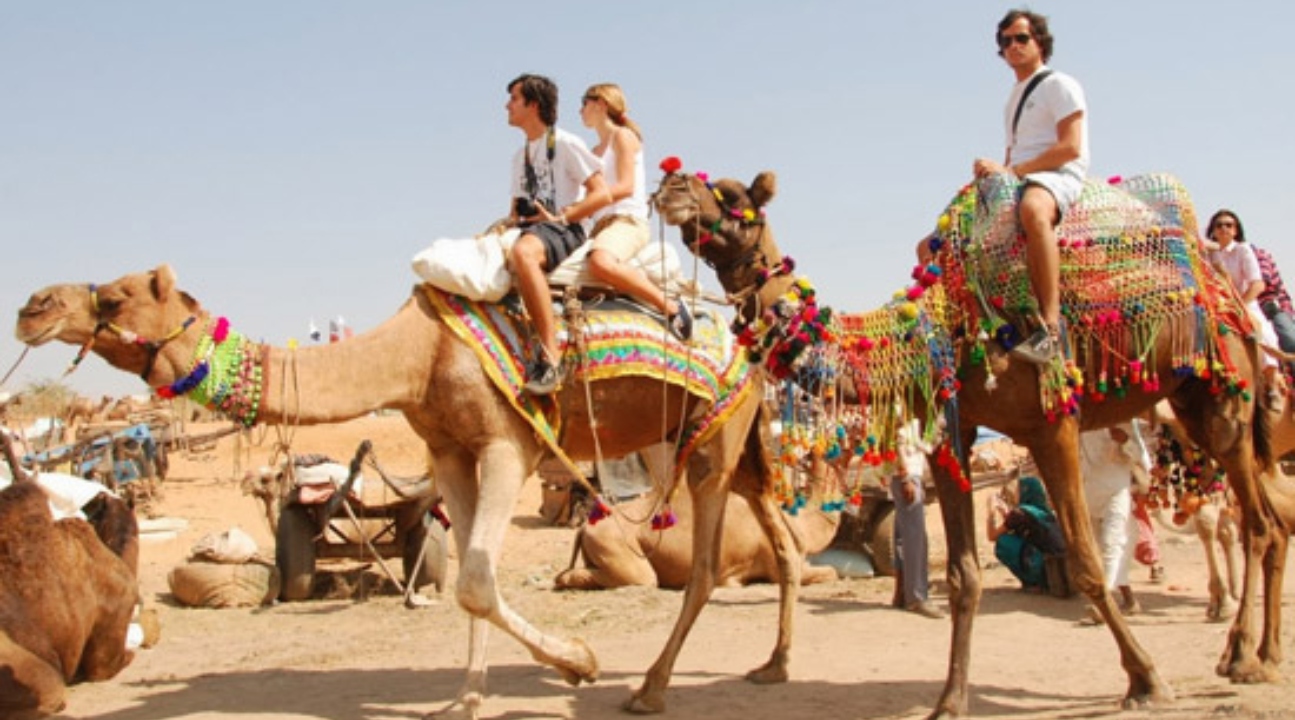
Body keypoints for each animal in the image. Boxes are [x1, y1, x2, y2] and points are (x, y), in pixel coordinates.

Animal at [14, 263, 804, 717]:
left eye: (115, 295)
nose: (33, 305)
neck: (415, 357)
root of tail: (748, 341)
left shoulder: (506, 444)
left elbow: (476, 580)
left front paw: (579, 661)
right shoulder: (450, 452)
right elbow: (474, 581)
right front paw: (466, 698)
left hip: (715, 442)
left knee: (703, 567)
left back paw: (650, 688)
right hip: (729, 442)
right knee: (784, 544)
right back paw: (771, 667)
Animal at [653, 164, 1289, 717]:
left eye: (735, 196)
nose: (671, 184)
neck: (938, 331)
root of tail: (1224, 290)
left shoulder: (1050, 425)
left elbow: (1085, 561)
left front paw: (1147, 680)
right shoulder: (950, 437)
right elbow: (963, 574)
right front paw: (950, 700)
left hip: (1223, 398)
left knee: (1257, 522)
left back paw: (1243, 658)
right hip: (1191, 403)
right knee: (1273, 521)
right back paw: (1260, 655)